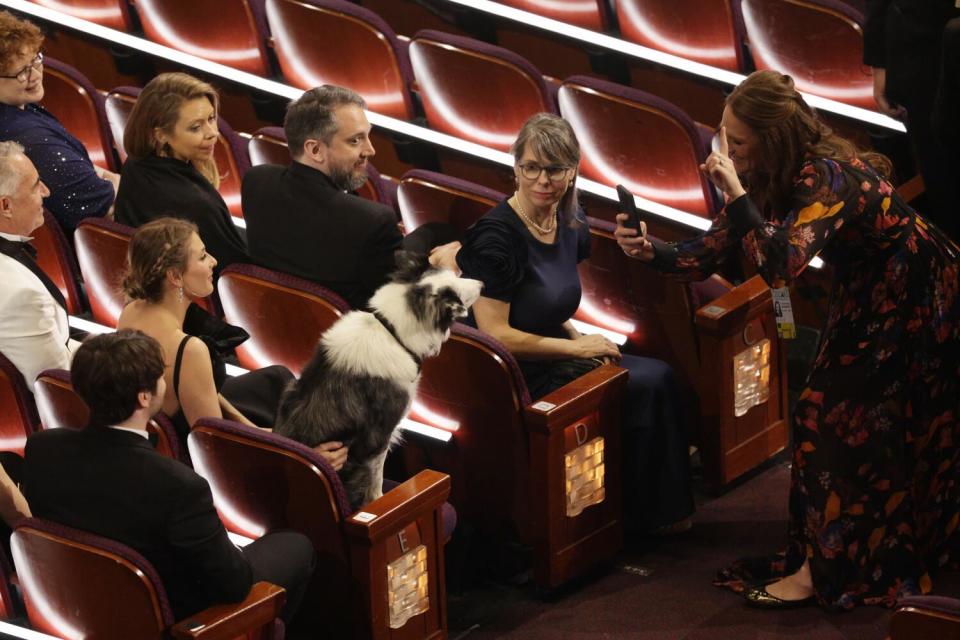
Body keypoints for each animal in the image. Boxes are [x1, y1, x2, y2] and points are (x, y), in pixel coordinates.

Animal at [274, 252, 484, 508]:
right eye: (459, 292)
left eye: (454, 275)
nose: (482, 284)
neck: (393, 331)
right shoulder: (377, 438)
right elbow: (376, 481)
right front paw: (380, 501)